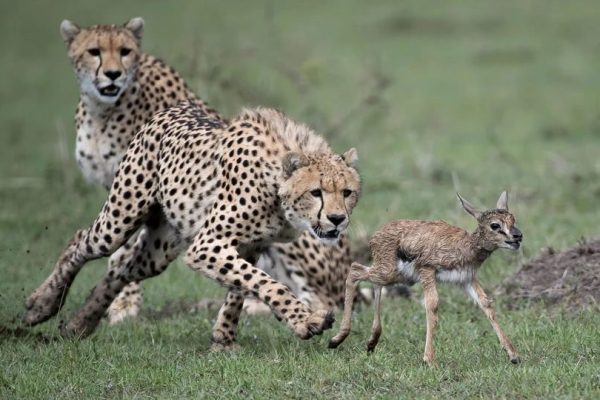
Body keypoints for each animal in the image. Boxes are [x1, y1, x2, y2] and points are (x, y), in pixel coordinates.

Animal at [24, 102, 360, 346]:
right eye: (316, 192)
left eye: (347, 193)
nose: (337, 219)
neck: (276, 186)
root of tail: (173, 109)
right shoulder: (207, 244)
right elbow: (265, 282)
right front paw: (305, 320)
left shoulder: (251, 245)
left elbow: (240, 287)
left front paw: (223, 339)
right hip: (120, 219)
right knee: (81, 242)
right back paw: (42, 304)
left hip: (159, 250)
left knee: (122, 270)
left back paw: (79, 324)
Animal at [52, 17, 356, 326]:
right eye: (94, 51)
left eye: (125, 51)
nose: (113, 75)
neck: (102, 110)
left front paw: (123, 307)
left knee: (324, 299)